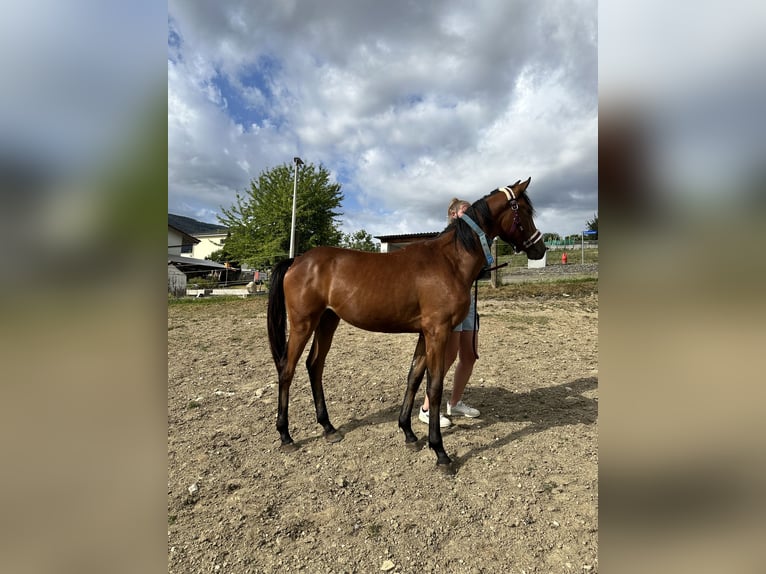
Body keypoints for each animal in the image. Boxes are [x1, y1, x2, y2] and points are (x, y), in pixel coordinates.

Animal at [267, 177, 546, 472]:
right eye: (525, 211)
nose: (541, 249)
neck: (450, 261)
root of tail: (297, 260)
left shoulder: (425, 333)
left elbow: (414, 377)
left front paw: (409, 433)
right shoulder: (438, 332)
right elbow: (434, 387)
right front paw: (440, 452)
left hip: (327, 321)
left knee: (314, 365)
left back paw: (328, 427)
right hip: (303, 323)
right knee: (287, 369)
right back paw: (286, 435)